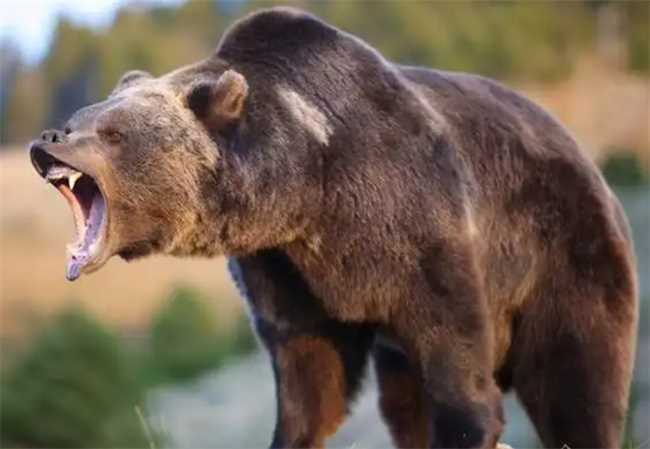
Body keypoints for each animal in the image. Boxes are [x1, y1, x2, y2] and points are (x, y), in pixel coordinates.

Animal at [29, 7, 638, 449]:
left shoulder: (421, 230)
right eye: (78, 118)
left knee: (578, 383)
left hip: (568, 256)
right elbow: (310, 380)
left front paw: (471, 423)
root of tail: (589, 161)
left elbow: (456, 363)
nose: (48, 138)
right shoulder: (285, 270)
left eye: (112, 133)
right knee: (403, 402)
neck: (309, 190)